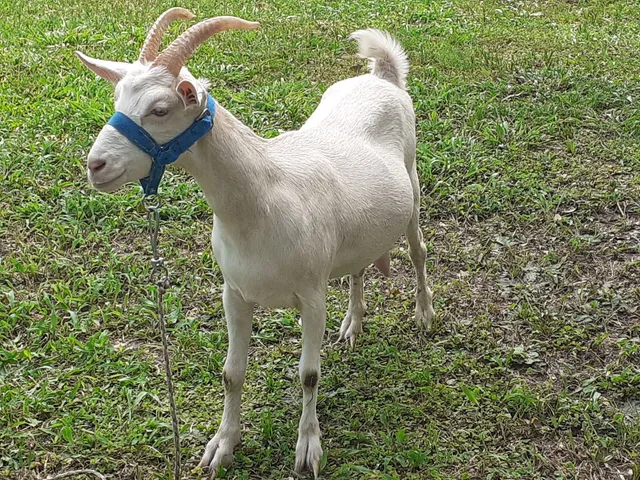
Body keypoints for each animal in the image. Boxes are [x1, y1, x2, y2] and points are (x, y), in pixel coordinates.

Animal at [76, 8, 436, 477]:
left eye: (160, 109)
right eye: (117, 100)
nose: (96, 165)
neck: (266, 196)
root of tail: (382, 77)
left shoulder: (312, 295)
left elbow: (308, 374)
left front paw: (307, 449)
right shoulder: (234, 292)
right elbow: (231, 374)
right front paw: (221, 446)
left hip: (411, 185)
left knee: (418, 251)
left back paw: (424, 313)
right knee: (358, 265)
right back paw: (353, 324)